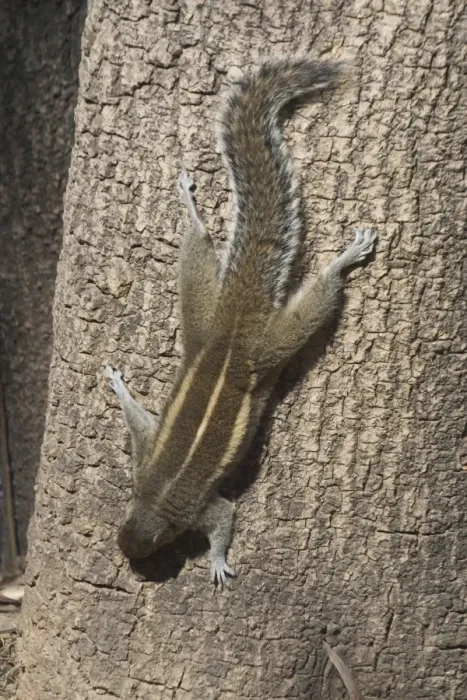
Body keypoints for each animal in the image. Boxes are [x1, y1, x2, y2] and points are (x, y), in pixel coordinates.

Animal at [106, 59, 377, 586]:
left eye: (151, 548)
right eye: (122, 531)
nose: (132, 567)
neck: (153, 496)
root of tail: (231, 326)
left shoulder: (199, 507)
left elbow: (224, 519)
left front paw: (216, 561)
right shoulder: (144, 457)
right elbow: (140, 420)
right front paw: (119, 386)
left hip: (270, 345)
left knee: (312, 305)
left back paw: (342, 260)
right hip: (200, 318)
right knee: (197, 252)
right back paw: (193, 215)